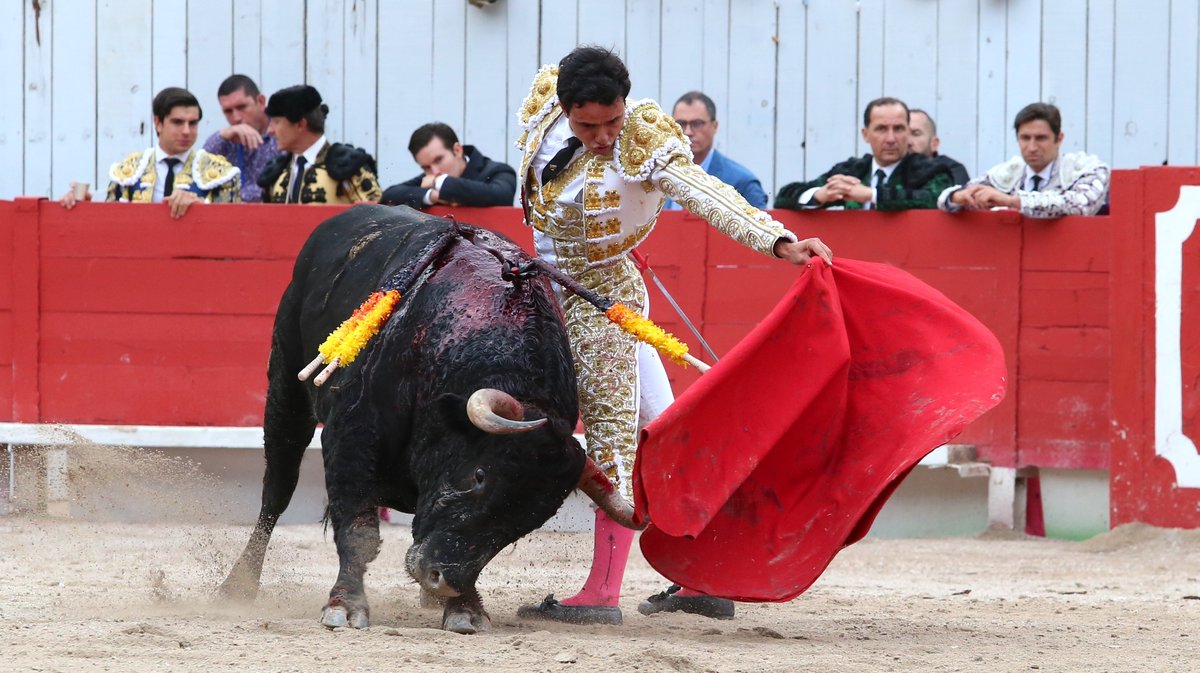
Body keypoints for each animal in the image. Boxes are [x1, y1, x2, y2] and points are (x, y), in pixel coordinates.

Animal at [219, 205, 628, 628]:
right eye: (479, 475)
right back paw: (238, 586)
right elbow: (359, 532)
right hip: (286, 387)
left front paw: (465, 608)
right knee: (277, 490)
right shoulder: (352, 435)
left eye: (533, 519)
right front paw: (344, 606)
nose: (443, 578)